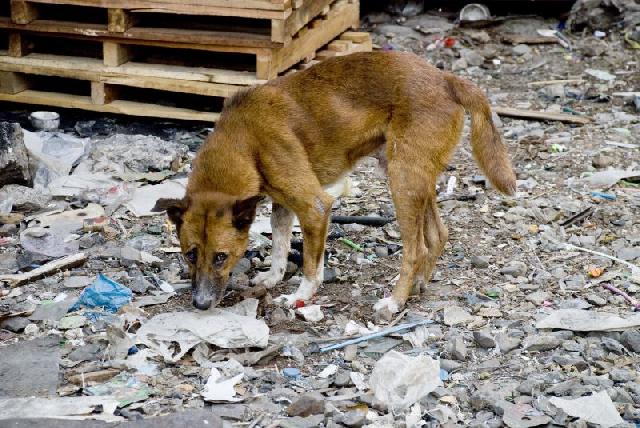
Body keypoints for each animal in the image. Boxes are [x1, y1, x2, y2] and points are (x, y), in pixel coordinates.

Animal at [154, 51, 516, 318]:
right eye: (189, 254)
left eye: (220, 257)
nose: (201, 305)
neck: (242, 140)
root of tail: (446, 78)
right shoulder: (282, 204)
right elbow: (280, 246)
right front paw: (272, 277)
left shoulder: (314, 206)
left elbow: (311, 266)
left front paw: (299, 296)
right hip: (411, 176)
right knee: (438, 235)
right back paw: (418, 286)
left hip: (402, 180)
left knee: (418, 249)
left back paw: (395, 301)